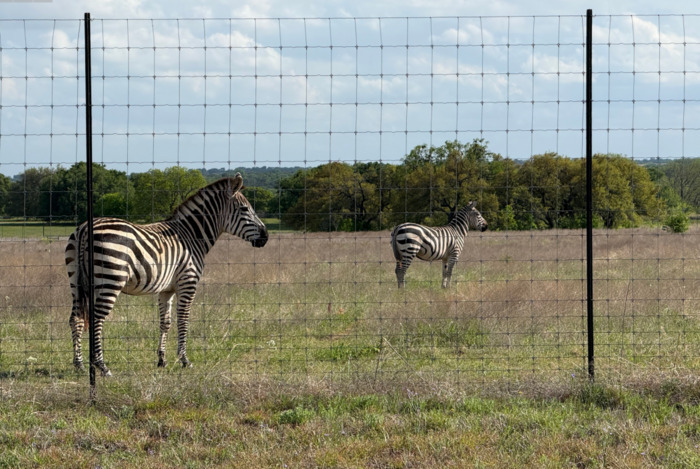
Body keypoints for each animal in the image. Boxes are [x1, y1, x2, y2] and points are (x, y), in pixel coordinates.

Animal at [65, 173, 268, 376]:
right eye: (244, 209)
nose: (265, 237)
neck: (191, 235)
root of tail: (85, 228)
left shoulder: (166, 289)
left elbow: (165, 323)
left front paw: (162, 360)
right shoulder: (188, 282)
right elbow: (183, 321)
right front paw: (184, 360)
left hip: (75, 282)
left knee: (76, 319)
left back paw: (79, 364)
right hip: (111, 280)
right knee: (96, 319)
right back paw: (102, 366)